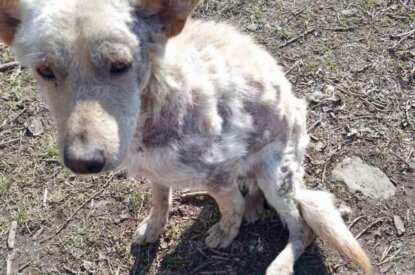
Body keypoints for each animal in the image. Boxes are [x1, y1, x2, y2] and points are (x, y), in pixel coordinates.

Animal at [0, 0, 370, 274]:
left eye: (120, 65)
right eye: (45, 71)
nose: (82, 162)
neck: (156, 106)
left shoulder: (220, 174)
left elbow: (230, 208)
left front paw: (225, 233)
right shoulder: (157, 173)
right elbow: (161, 200)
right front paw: (154, 228)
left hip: (275, 173)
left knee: (301, 225)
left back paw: (279, 261)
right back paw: (249, 205)